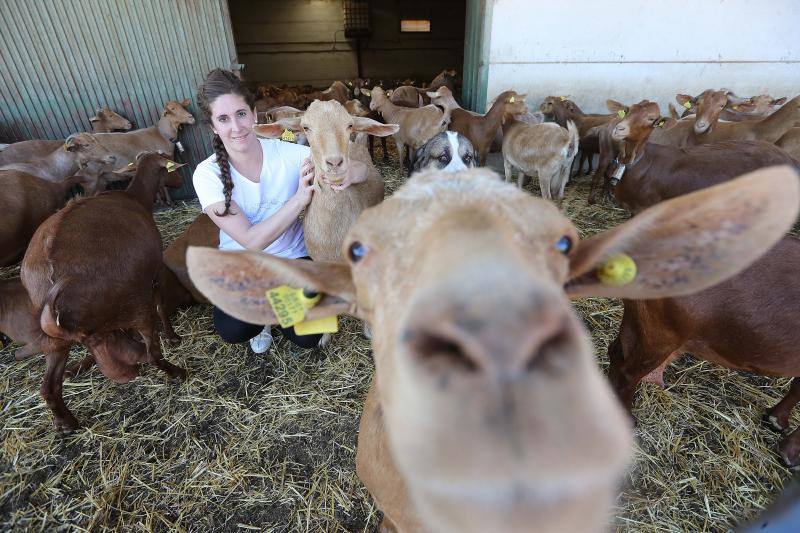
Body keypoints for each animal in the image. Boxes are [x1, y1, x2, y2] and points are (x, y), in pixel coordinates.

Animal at [21, 152, 187, 430]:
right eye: (170, 165)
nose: (180, 181)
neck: (135, 198)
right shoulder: (153, 275)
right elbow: (161, 305)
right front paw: (173, 336)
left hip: (53, 339)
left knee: (48, 387)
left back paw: (67, 422)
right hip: (133, 305)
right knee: (152, 354)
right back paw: (176, 372)